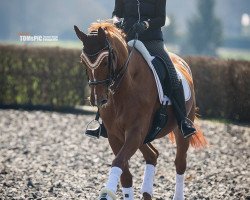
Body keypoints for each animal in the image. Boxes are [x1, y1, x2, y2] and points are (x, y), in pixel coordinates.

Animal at [74, 21, 207, 200]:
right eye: (83, 62)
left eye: (105, 61)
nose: (98, 99)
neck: (124, 87)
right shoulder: (115, 135)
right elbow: (124, 173)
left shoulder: (135, 131)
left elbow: (118, 162)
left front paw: (106, 193)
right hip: (143, 136)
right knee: (152, 155)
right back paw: (146, 192)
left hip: (180, 128)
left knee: (180, 163)